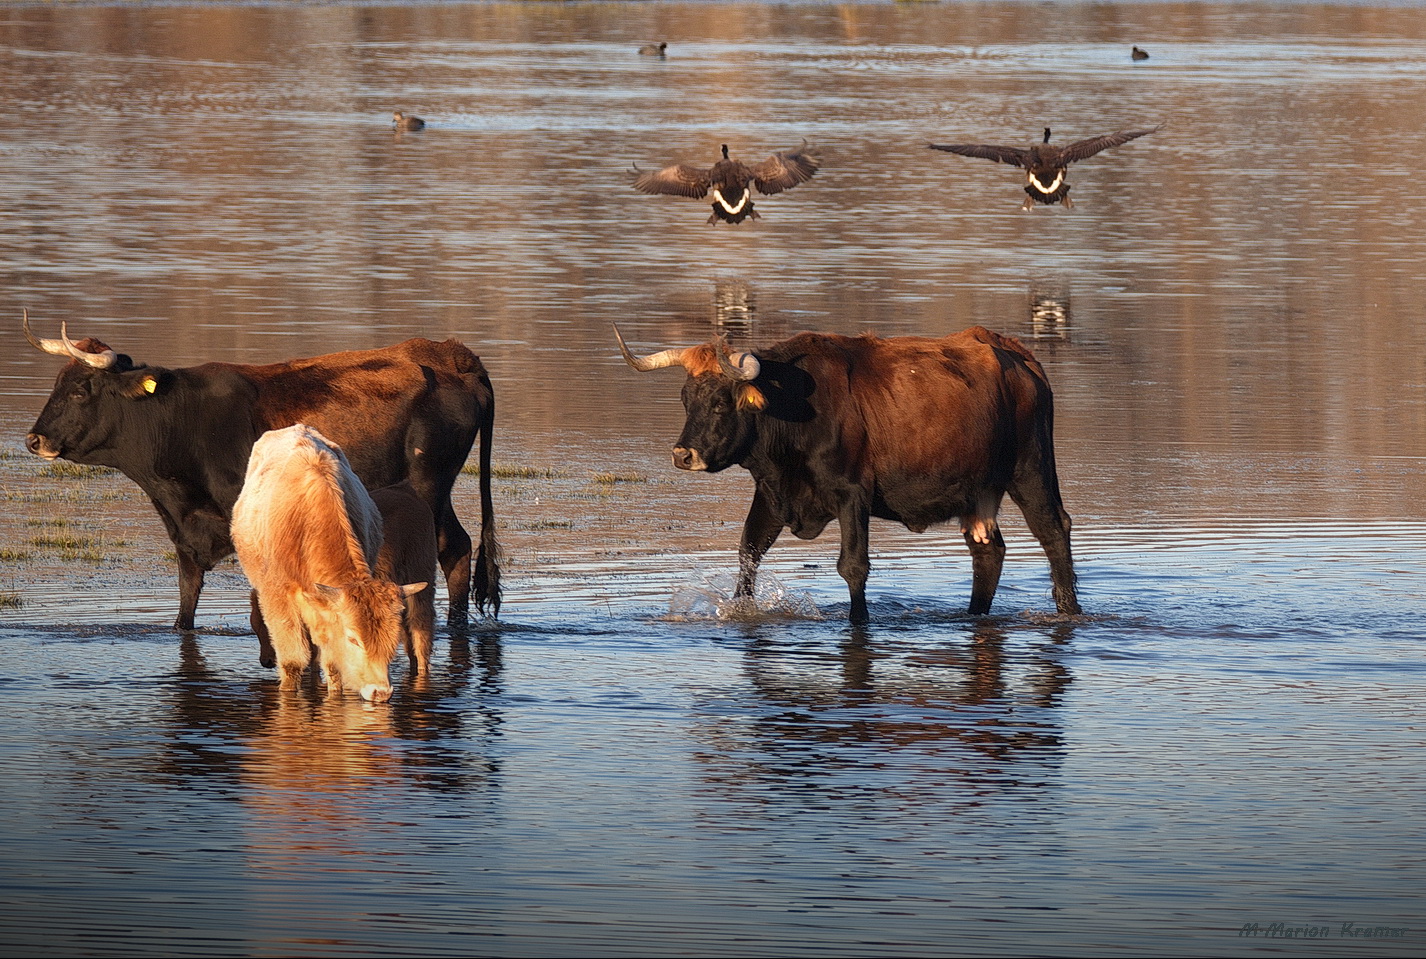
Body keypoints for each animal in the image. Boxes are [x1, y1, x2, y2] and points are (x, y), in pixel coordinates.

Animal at [231, 421, 422, 698]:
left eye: (393, 637)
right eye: (353, 638)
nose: (381, 691)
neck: (306, 524)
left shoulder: (328, 617)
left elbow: (333, 666)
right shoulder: (278, 599)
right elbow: (292, 663)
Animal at [616, 322, 1078, 621]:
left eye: (720, 402)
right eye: (685, 398)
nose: (683, 454)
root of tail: (1017, 354)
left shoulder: (852, 494)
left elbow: (853, 565)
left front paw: (860, 620)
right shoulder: (771, 493)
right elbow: (749, 552)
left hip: (1032, 470)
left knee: (1054, 531)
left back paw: (1069, 609)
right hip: (979, 491)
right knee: (988, 552)